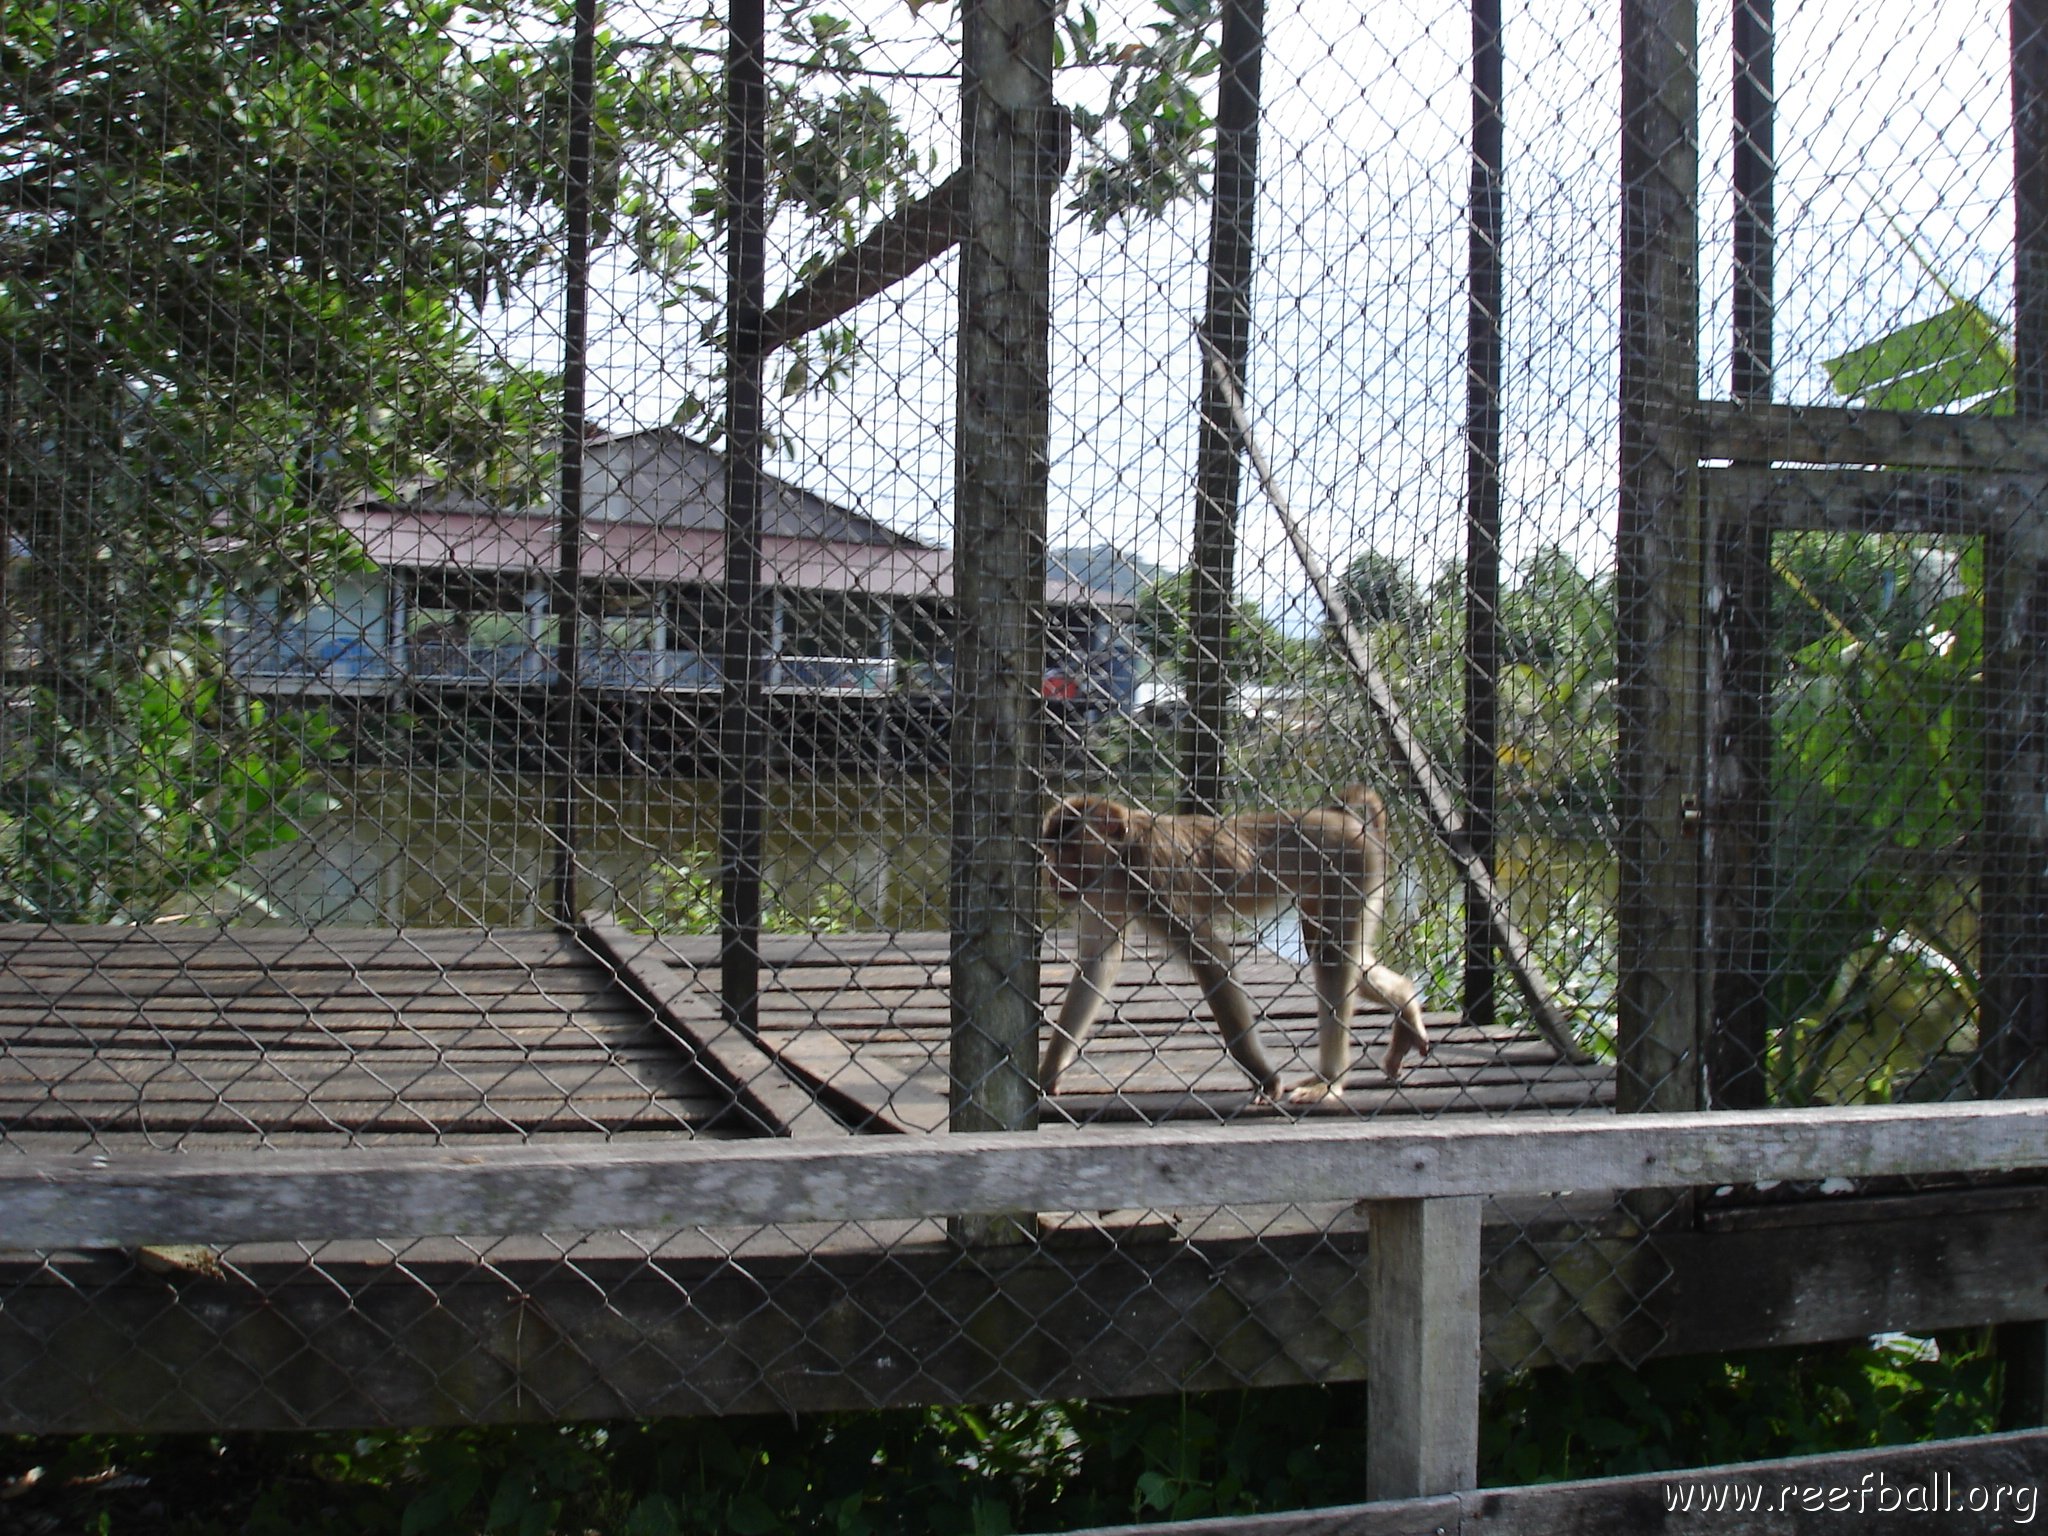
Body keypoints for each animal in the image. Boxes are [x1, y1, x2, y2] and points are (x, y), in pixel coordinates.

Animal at [1040, 794, 1425, 1105]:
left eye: (1067, 850)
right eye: (1051, 851)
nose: (1051, 875)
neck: (1121, 856)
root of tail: (1342, 818)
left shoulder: (1152, 880)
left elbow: (1211, 957)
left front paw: (1263, 1077)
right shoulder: (1103, 893)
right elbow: (1097, 964)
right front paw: (1048, 1071)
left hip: (1351, 868)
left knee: (1332, 956)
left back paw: (1330, 1081)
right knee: (1333, 952)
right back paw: (1405, 1001)